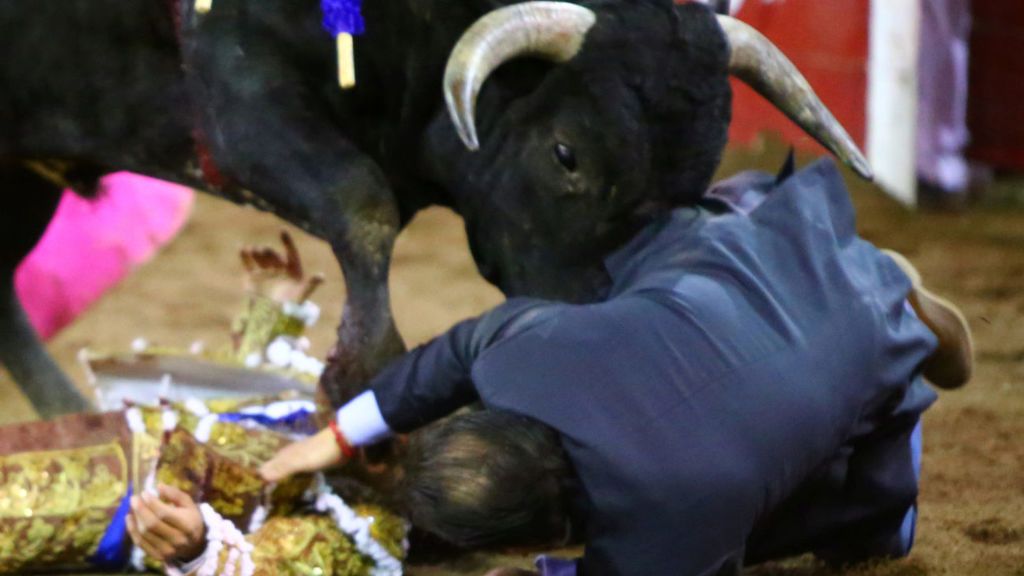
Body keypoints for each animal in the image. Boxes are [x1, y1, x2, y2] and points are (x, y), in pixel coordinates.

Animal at [0, 0, 872, 414]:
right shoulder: (241, 99)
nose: (605, 340)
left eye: (696, 184)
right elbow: (362, 202)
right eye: (567, 154)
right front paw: (357, 375)